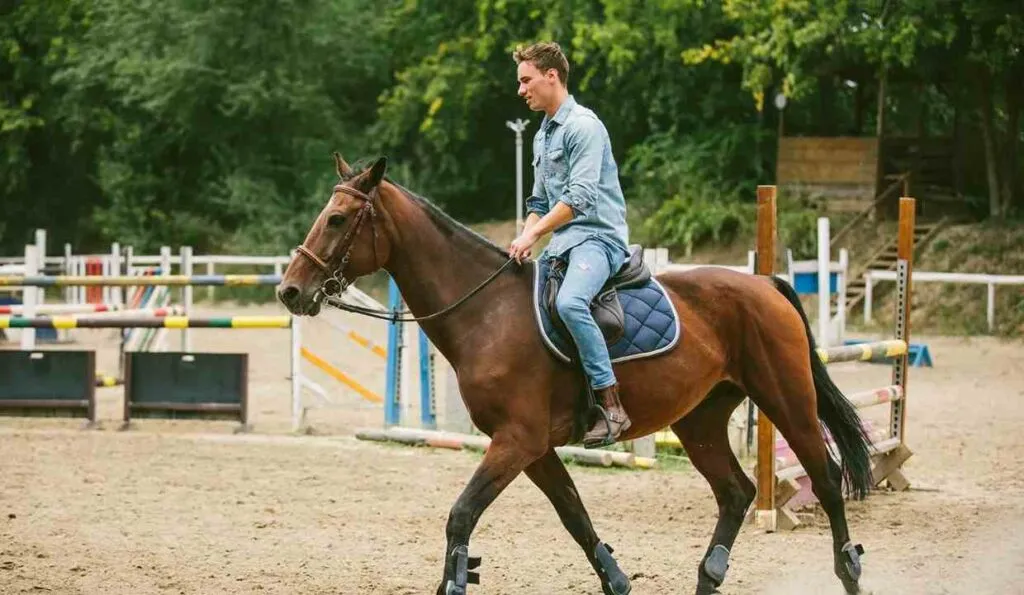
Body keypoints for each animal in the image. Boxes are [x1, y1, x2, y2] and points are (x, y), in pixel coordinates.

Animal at [276, 154, 874, 595]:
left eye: (336, 219)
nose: (289, 290)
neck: (486, 311)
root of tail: (763, 284)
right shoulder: (534, 447)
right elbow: (574, 516)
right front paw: (616, 579)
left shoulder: (517, 441)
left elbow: (461, 516)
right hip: (700, 420)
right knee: (734, 491)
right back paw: (709, 575)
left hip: (786, 398)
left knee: (826, 481)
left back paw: (848, 571)